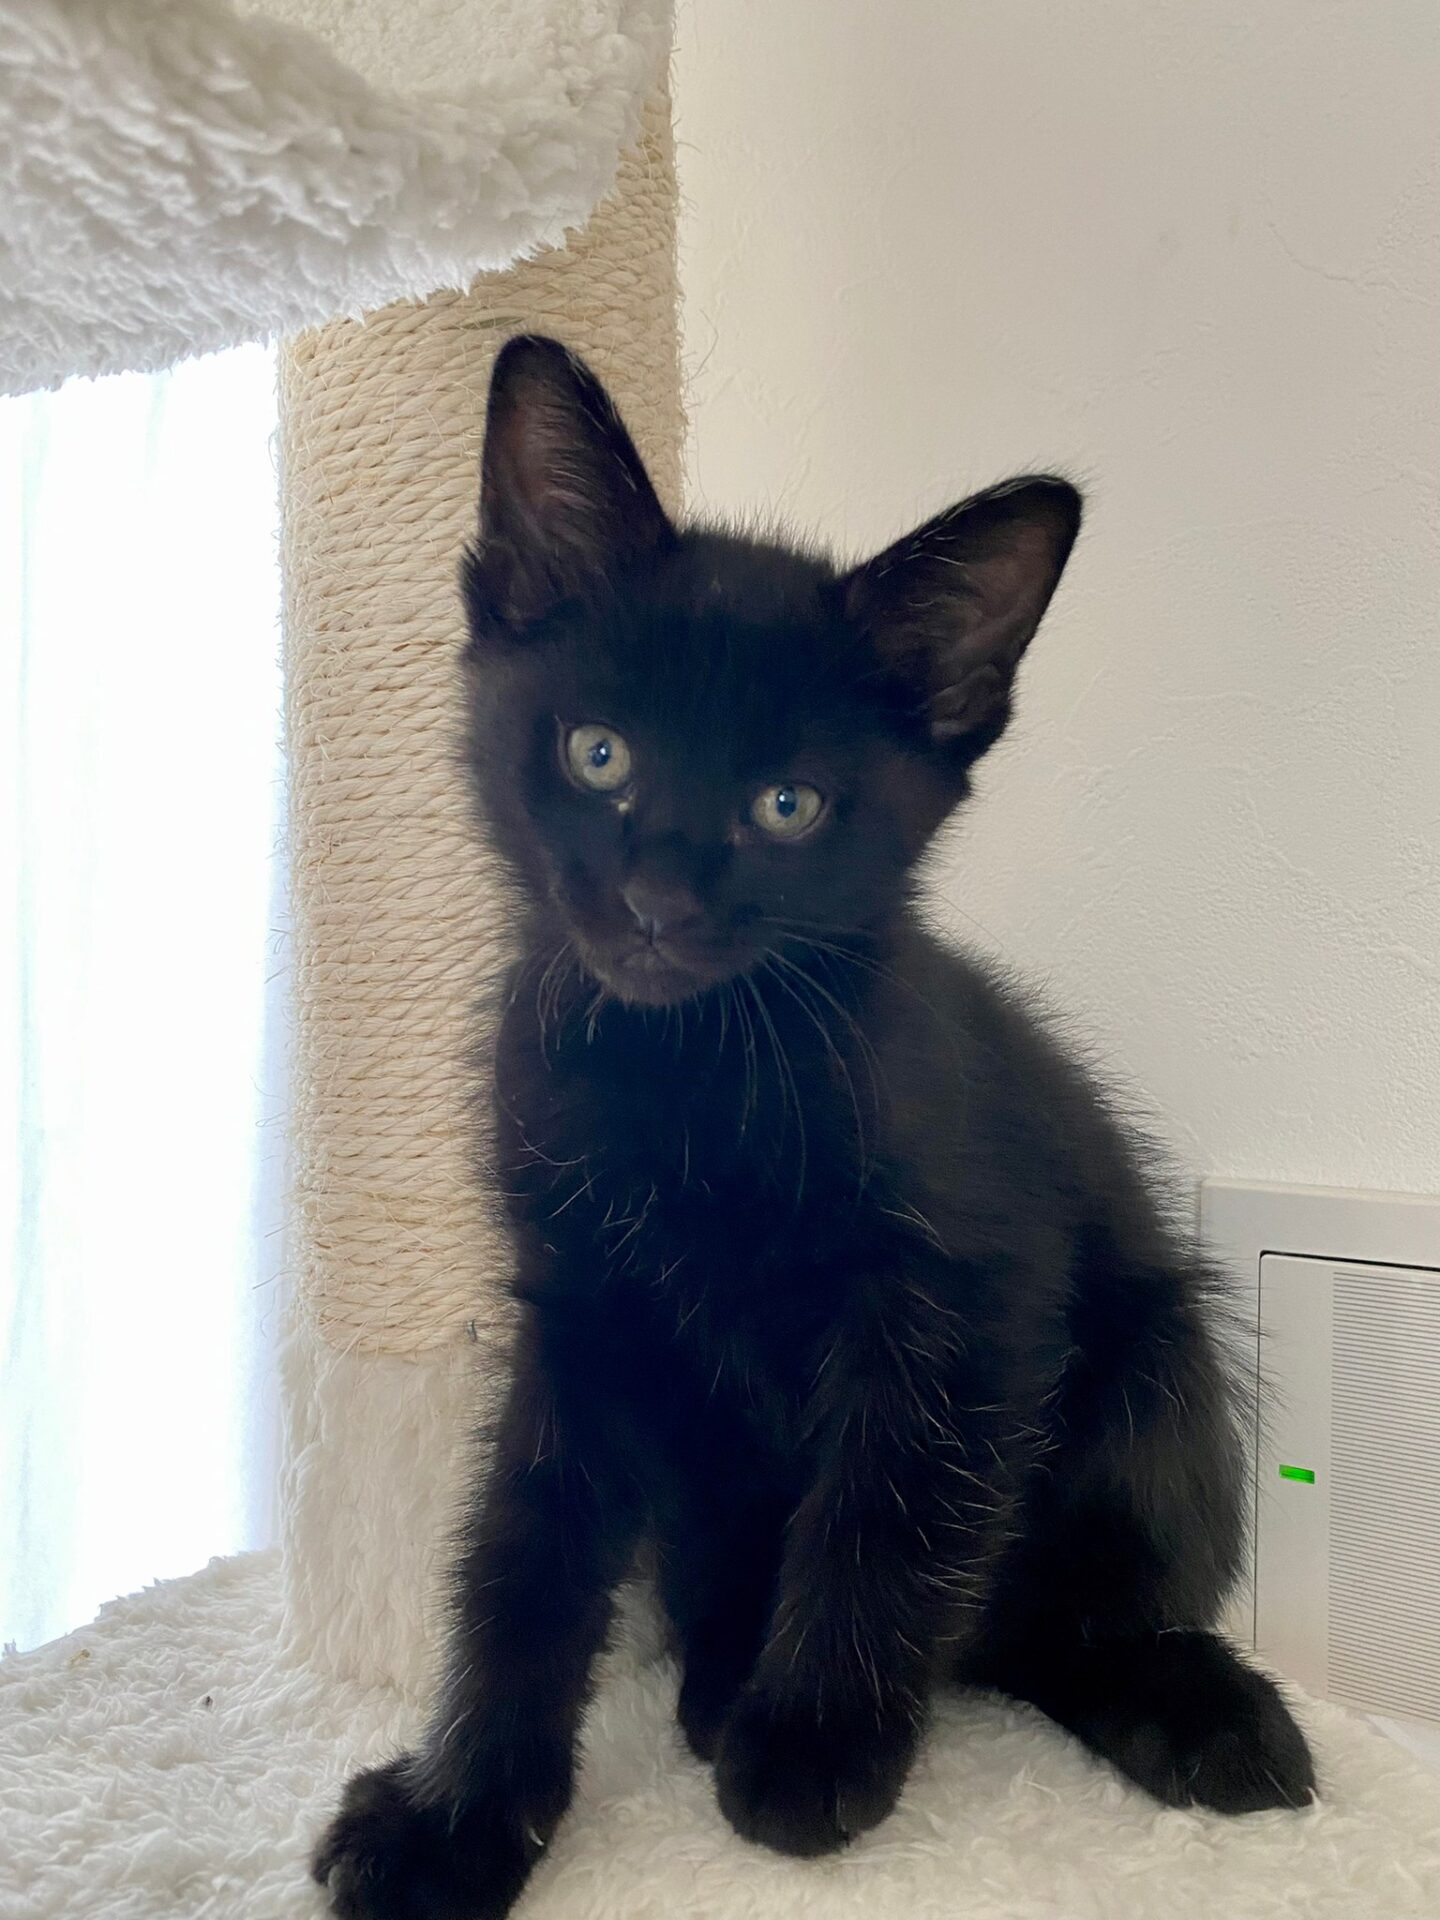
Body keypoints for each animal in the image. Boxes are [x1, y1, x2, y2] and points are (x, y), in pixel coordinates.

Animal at [313, 336, 1315, 1919]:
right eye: (598, 755)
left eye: (790, 806)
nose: (657, 901)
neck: (688, 1065)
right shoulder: (579, 1309)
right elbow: (523, 1549)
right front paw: (460, 1812)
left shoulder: (965, 1289)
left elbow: (891, 1504)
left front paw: (816, 1747)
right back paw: (722, 1674)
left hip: (1163, 1365)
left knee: (1069, 1615)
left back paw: (1198, 1712)